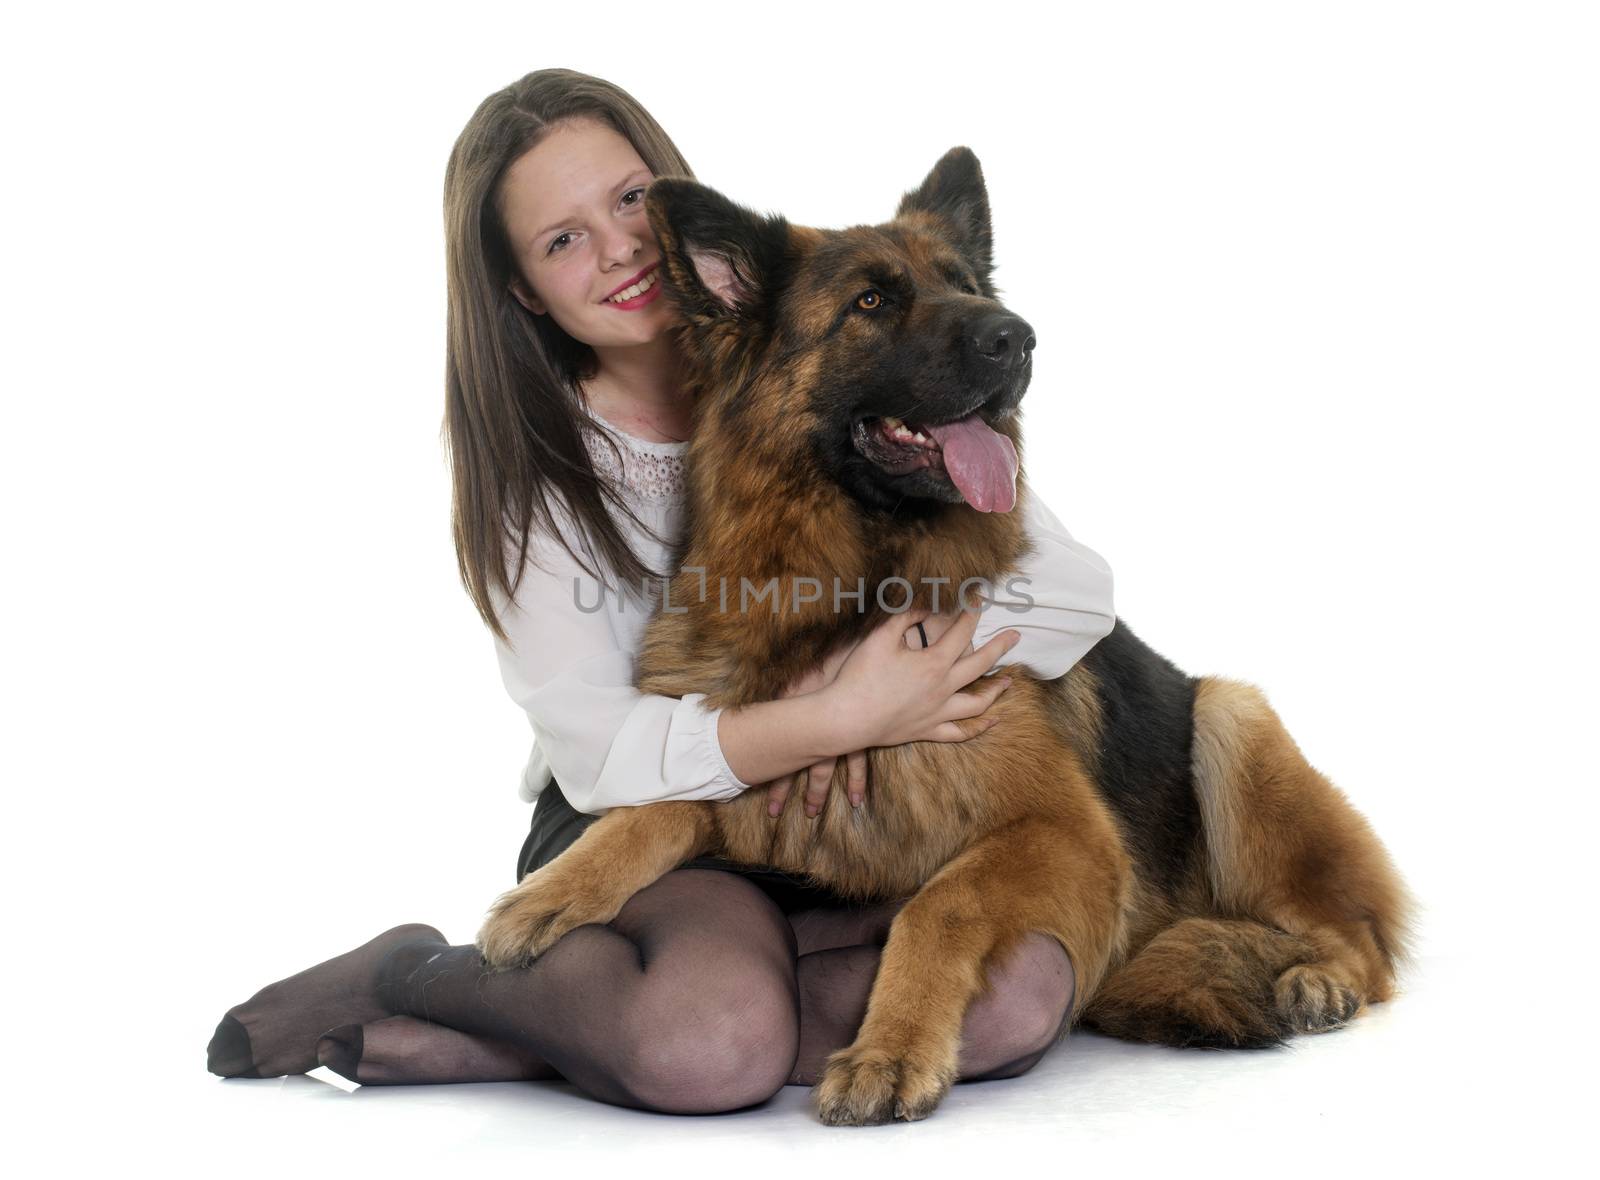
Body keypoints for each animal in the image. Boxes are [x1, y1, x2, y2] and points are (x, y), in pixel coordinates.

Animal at [476, 147, 1414, 1119]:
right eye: (870, 301)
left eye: (964, 284)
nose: (1020, 336)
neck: (850, 591)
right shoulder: (732, 751)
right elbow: (652, 807)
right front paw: (554, 890)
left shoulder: (1064, 831)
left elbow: (941, 903)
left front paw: (890, 1048)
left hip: (1232, 717)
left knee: (1360, 939)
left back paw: (1316, 979)